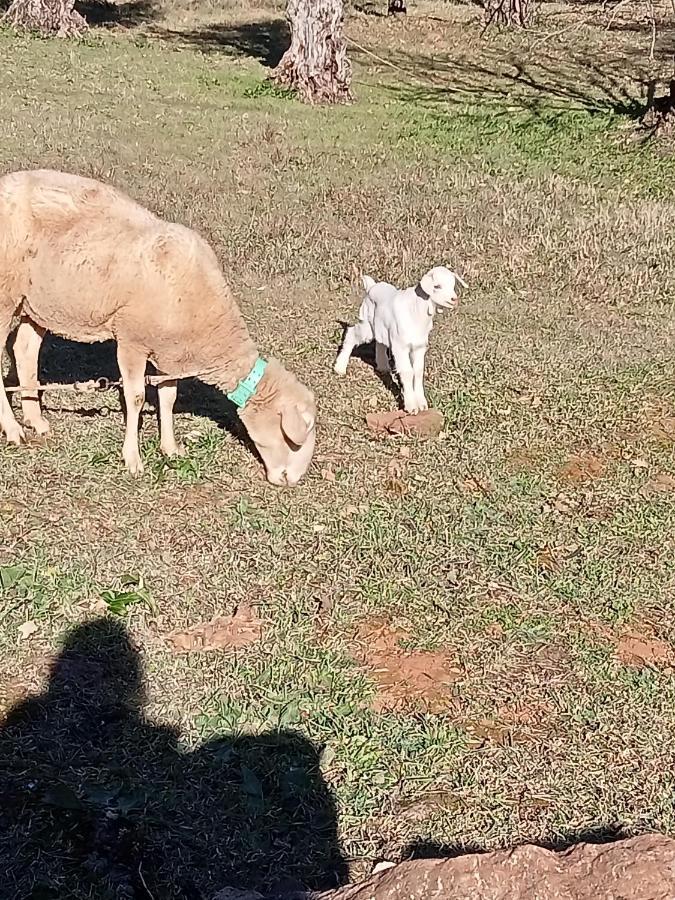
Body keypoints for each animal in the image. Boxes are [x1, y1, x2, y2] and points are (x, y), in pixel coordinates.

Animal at [0, 168, 316, 486]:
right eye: (295, 437)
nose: (292, 481)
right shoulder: (131, 341)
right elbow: (136, 397)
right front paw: (133, 459)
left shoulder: (171, 354)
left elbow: (168, 398)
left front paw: (170, 448)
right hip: (5, 293)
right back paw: (14, 430)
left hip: (37, 302)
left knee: (25, 349)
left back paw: (36, 421)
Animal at [336, 262, 468, 414]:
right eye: (437, 286)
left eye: (453, 285)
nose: (454, 299)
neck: (416, 309)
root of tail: (372, 287)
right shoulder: (401, 346)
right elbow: (407, 372)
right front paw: (411, 406)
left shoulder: (419, 346)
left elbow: (418, 371)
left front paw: (422, 404)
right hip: (368, 325)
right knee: (352, 333)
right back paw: (340, 367)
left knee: (380, 343)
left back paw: (383, 367)